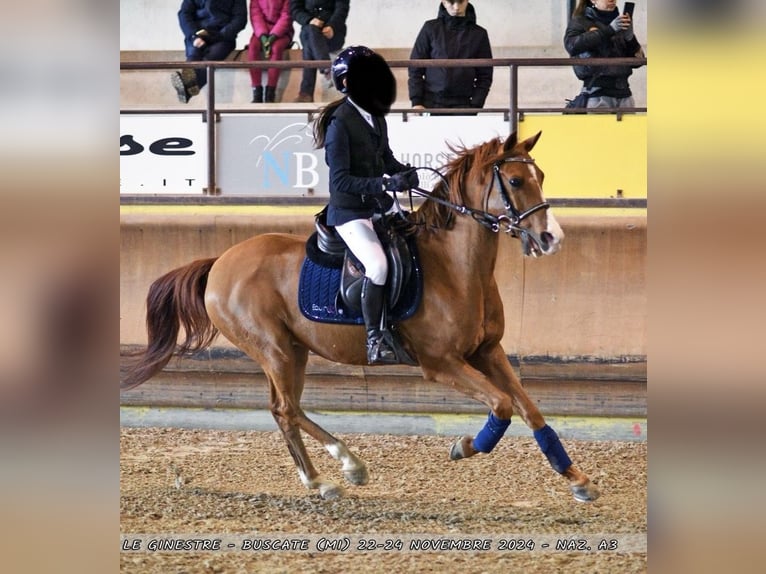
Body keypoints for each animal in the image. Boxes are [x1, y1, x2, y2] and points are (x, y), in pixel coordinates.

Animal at [121, 132, 600, 504]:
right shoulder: (441, 364)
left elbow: (531, 411)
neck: (457, 266)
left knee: (285, 409)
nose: (551, 238)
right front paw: (464, 446)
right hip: (274, 350)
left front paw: (578, 480)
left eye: (541, 177)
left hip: (293, 351)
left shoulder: (489, 352)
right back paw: (343, 470)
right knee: (286, 408)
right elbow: (501, 405)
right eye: (515, 181)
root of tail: (220, 261)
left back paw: (327, 477)